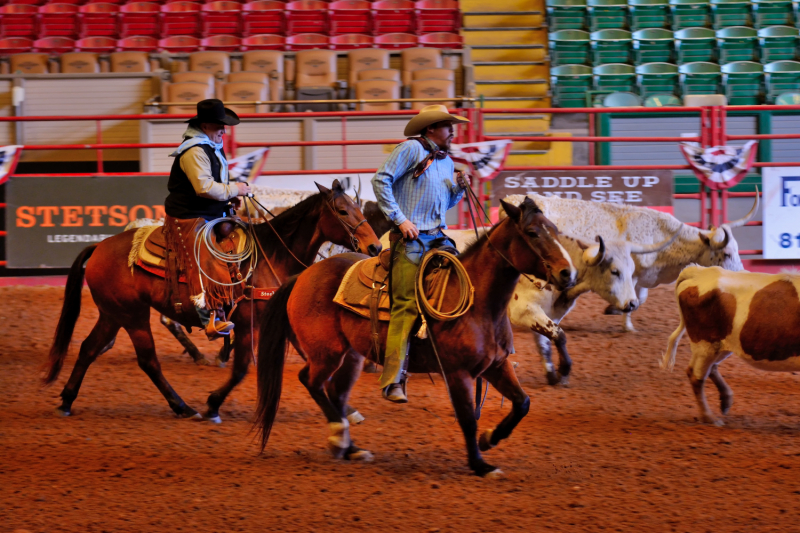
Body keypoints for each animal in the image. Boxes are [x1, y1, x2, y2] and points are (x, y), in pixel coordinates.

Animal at [43, 181, 382, 422]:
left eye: (358, 207)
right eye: (342, 211)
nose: (374, 246)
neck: (272, 255)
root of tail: (100, 246)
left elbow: (311, 358)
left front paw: (347, 409)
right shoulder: (248, 323)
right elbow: (242, 367)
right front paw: (213, 404)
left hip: (113, 314)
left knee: (89, 348)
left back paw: (67, 400)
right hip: (133, 316)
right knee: (148, 360)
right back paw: (183, 406)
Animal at [255, 197, 576, 476]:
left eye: (554, 229)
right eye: (532, 232)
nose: (568, 274)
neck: (480, 305)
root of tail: (303, 276)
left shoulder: (497, 365)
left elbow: (522, 402)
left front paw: (490, 439)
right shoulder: (457, 372)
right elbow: (467, 418)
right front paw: (480, 464)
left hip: (352, 355)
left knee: (335, 392)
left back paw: (353, 448)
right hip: (326, 352)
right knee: (310, 381)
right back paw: (339, 436)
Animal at [504, 193, 760, 330]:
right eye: (727, 254)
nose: (743, 274)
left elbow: (640, 297)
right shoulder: (632, 272)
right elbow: (632, 296)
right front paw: (622, 319)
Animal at [664, 264, 800, 424]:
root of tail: (698, 271)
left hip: (716, 346)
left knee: (704, 369)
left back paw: (725, 401)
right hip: (706, 344)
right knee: (697, 378)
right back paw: (709, 417)